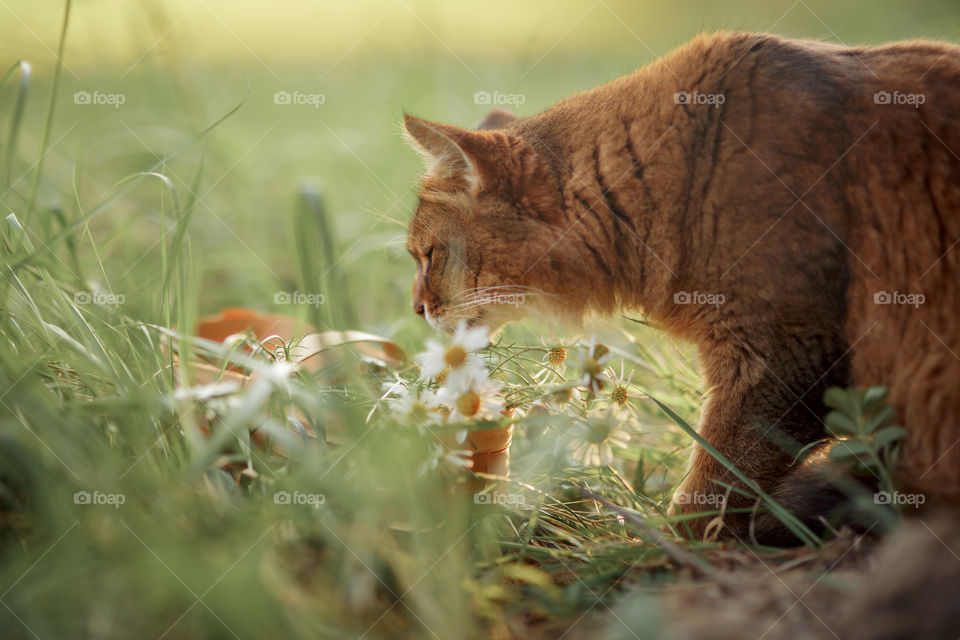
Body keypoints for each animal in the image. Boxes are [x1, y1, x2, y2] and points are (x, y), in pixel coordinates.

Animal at [402, 28, 956, 540]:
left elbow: (713, 489)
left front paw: (652, 550)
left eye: (428, 255)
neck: (683, 165)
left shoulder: (787, 357)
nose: (416, 308)